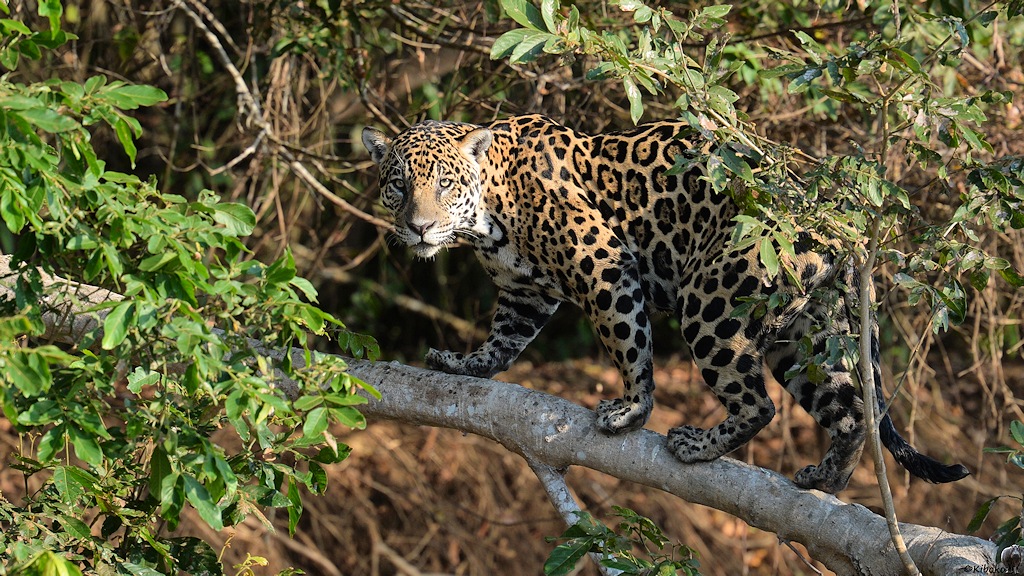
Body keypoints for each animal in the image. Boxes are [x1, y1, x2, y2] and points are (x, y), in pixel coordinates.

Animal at [362, 114, 969, 493]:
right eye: (398, 185)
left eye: (443, 184)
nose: (418, 227)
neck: (488, 214)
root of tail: (835, 225)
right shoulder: (523, 294)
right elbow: (503, 342)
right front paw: (464, 365)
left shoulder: (603, 262)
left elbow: (628, 340)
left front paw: (632, 410)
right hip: (806, 336)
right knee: (850, 413)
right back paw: (828, 479)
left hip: (712, 301)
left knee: (760, 404)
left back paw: (698, 445)